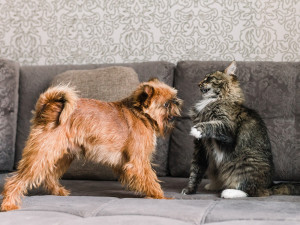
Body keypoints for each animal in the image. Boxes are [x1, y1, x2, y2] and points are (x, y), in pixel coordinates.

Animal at [1, 78, 182, 211]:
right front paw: (160, 196)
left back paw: (59, 192)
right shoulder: (139, 162)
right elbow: (151, 179)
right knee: (16, 180)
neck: (140, 113)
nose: (177, 102)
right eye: (166, 104)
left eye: (173, 100)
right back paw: (8, 204)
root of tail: (49, 105)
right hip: (43, 153)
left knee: (49, 176)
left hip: (62, 155)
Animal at [182, 62, 298, 199]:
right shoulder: (200, 148)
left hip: (245, 163)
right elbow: (195, 171)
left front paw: (196, 129)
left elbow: (213, 125)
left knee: (254, 191)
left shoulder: (228, 131)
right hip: (214, 166)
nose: (198, 84)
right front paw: (190, 190)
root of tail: (270, 184)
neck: (212, 101)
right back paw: (214, 185)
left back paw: (229, 192)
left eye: (209, 78)